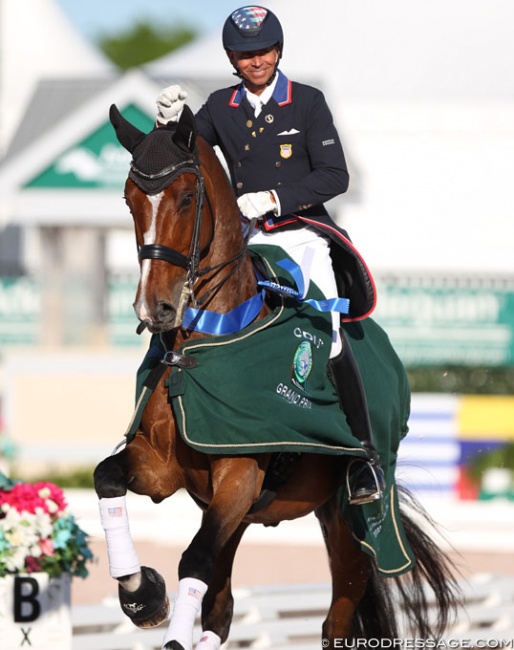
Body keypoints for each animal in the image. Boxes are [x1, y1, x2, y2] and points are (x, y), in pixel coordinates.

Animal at [94, 102, 458, 648]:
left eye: (186, 197)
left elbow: (193, 558)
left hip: (351, 524)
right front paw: (142, 595)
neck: (204, 343)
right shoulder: (162, 469)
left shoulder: (240, 474)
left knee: (336, 621)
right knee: (221, 606)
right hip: (243, 518)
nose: (154, 309)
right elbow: (106, 477)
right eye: (130, 199)